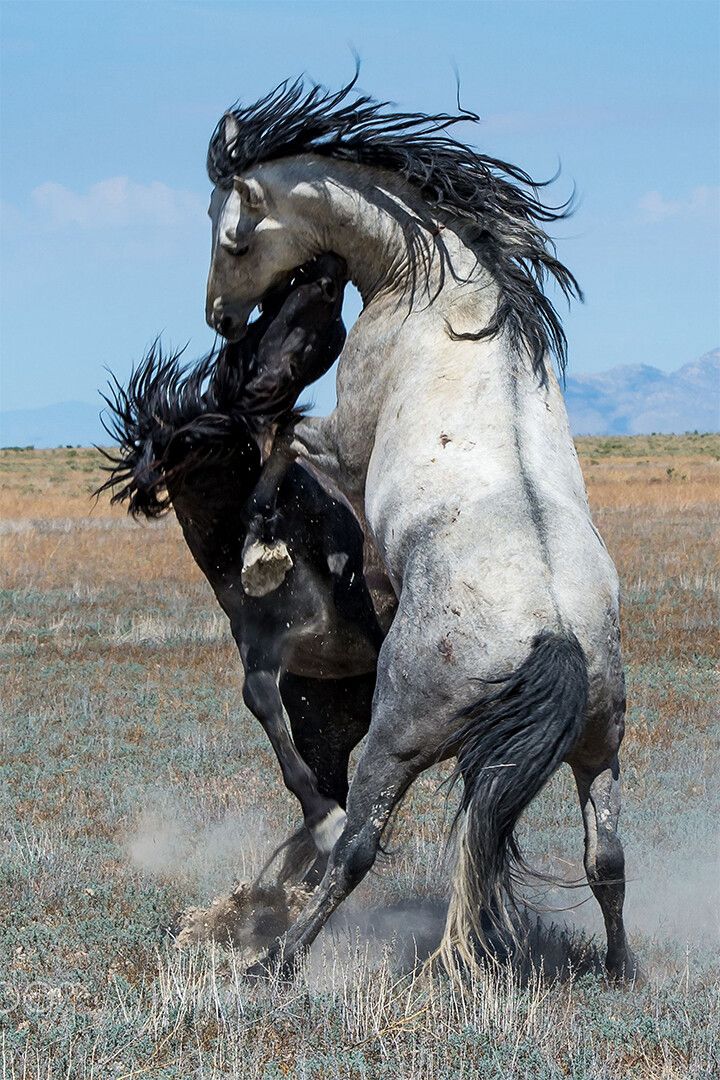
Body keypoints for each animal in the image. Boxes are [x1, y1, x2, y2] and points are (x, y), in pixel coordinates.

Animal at [98, 256, 385, 882]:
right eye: (251, 338)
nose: (321, 271)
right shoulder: (265, 647)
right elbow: (259, 701)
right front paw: (324, 824)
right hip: (329, 721)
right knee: (333, 774)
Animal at [204, 77, 636, 980]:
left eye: (233, 238)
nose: (221, 317)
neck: (441, 289)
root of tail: (555, 636)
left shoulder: (345, 439)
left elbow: (281, 439)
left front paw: (260, 547)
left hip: (395, 743)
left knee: (355, 847)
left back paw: (277, 960)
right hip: (600, 748)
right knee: (606, 861)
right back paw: (620, 972)